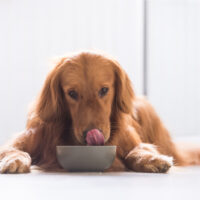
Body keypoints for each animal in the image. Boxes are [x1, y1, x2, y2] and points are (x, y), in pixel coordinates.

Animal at [0, 52, 200, 173]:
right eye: (72, 93)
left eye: (104, 90)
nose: (92, 134)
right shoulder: (28, 137)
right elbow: (12, 150)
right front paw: (14, 160)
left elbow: (137, 150)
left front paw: (152, 159)